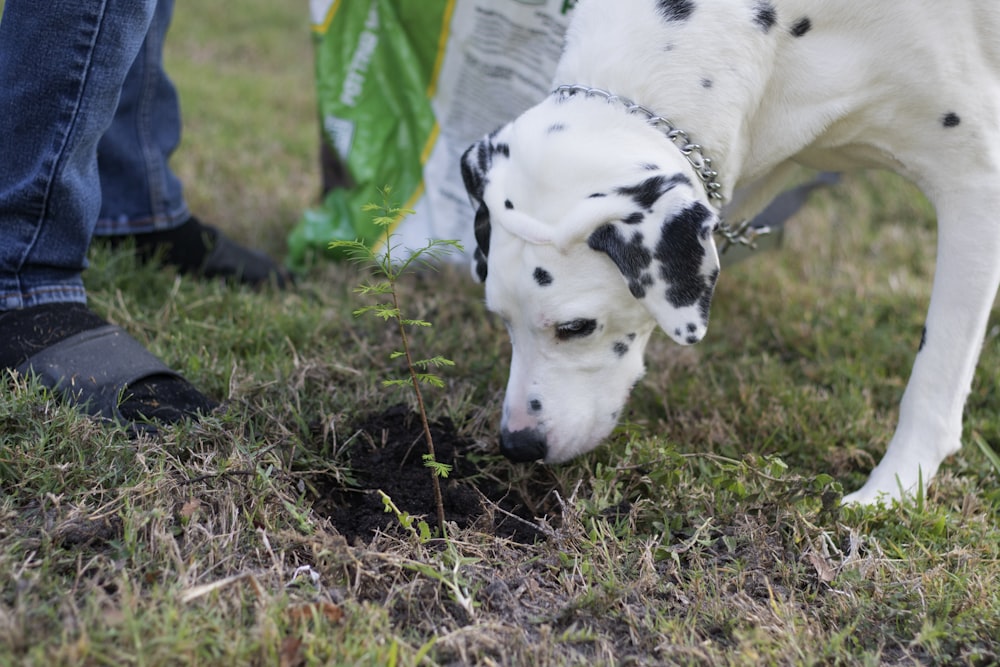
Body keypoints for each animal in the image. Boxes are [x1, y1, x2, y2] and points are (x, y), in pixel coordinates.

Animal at [462, 0, 1000, 504]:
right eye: (500, 318)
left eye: (576, 327)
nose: (518, 445)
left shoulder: (976, 185)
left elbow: (934, 374)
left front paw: (893, 489)